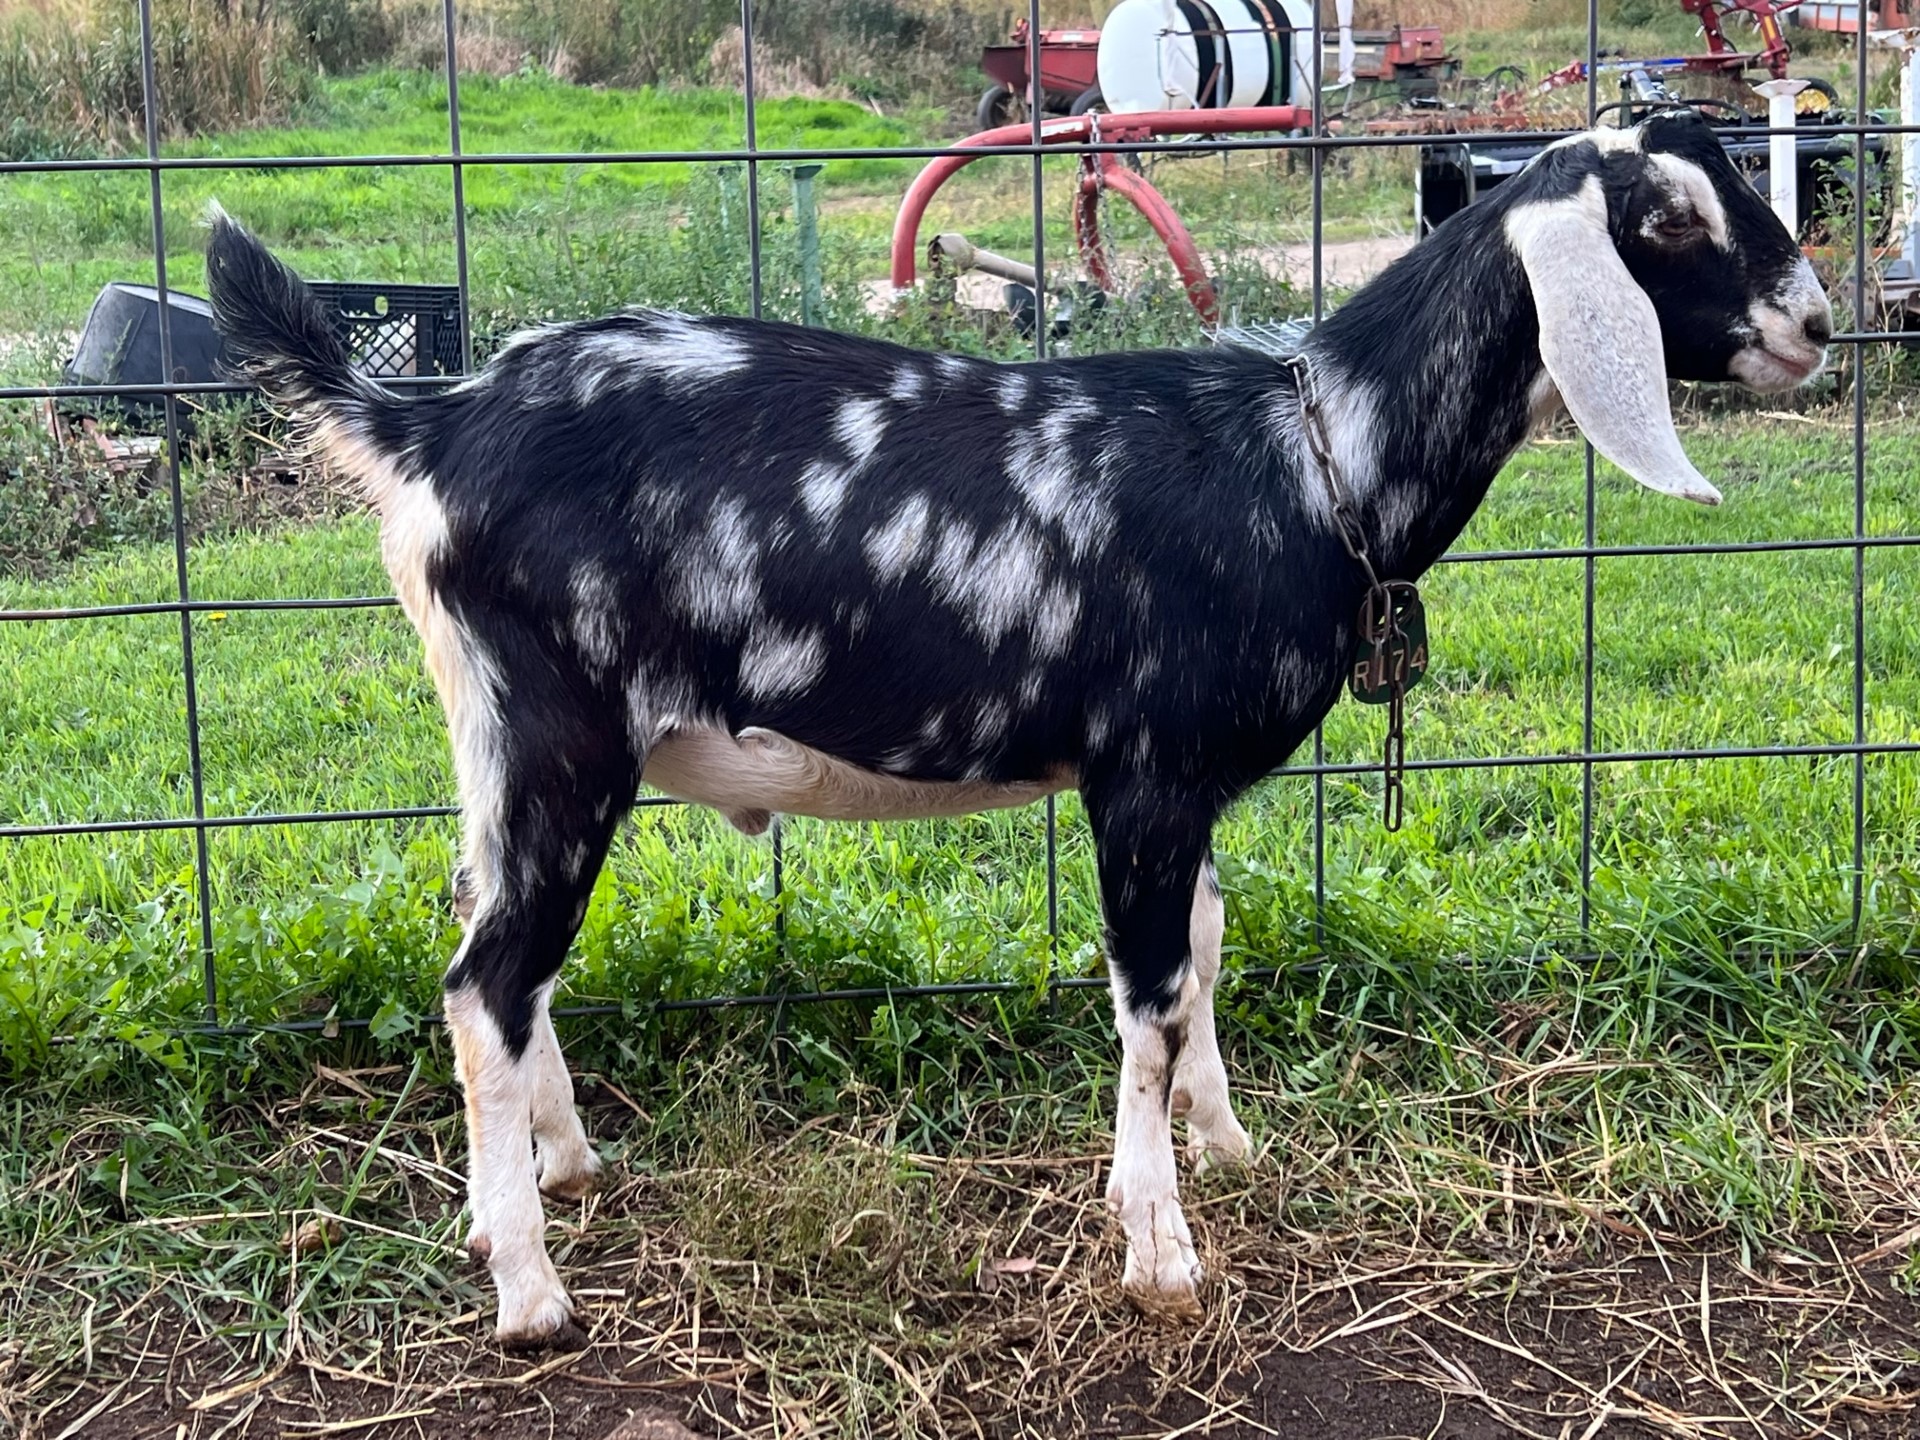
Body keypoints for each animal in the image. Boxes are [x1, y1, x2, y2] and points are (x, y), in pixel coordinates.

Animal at [206, 107, 1827, 1351]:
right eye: (1669, 220)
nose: (1815, 325)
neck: (1308, 456)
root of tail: (432, 421)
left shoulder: (1187, 788)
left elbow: (1209, 952)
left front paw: (1226, 1146)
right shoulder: (1145, 775)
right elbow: (1151, 999)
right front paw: (1160, 1251)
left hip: (497, 745)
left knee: (493, 937)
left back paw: (568, 1164)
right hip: (559, 730)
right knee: (484, 981)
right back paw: (528, 1286)